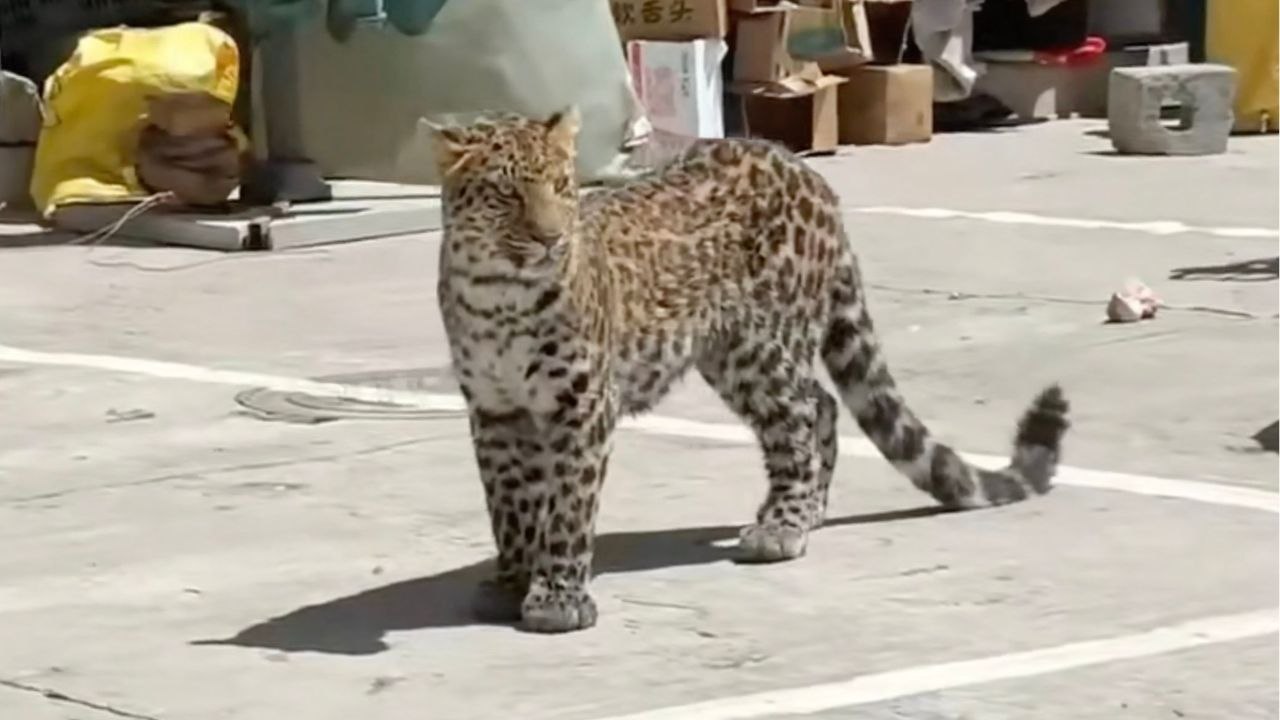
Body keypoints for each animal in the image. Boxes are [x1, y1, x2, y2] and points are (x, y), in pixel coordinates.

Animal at [426, 107, 1070, 635]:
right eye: (506, 195)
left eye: (562, 186)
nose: (550, 238)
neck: (498, 295)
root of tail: (806, 172)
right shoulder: (496, 410)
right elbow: (508, 504)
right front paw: (511, 580)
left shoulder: (581, 405)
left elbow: (565, 507)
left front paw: (558, 599)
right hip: (734, 356)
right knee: (822, 405)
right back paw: (806, 511)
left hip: (761, 346)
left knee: (804, 414)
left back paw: (784, 526)